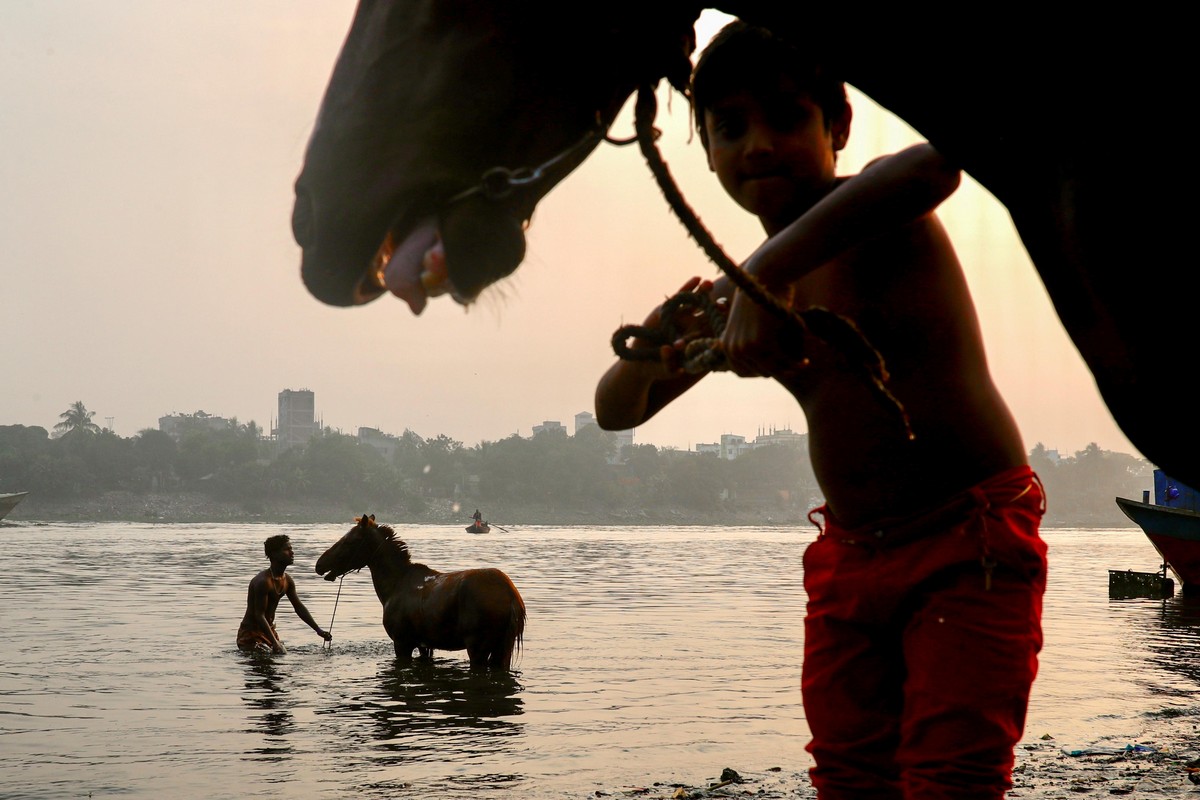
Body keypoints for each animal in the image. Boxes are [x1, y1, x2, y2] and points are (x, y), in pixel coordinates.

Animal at [314, 513, 525, 671]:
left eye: (349, 540)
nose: (319, 564)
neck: (391, 587)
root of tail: (512, 598)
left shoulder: (402, 642)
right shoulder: (425, 644)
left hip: (478, 646)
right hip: (502, 647)